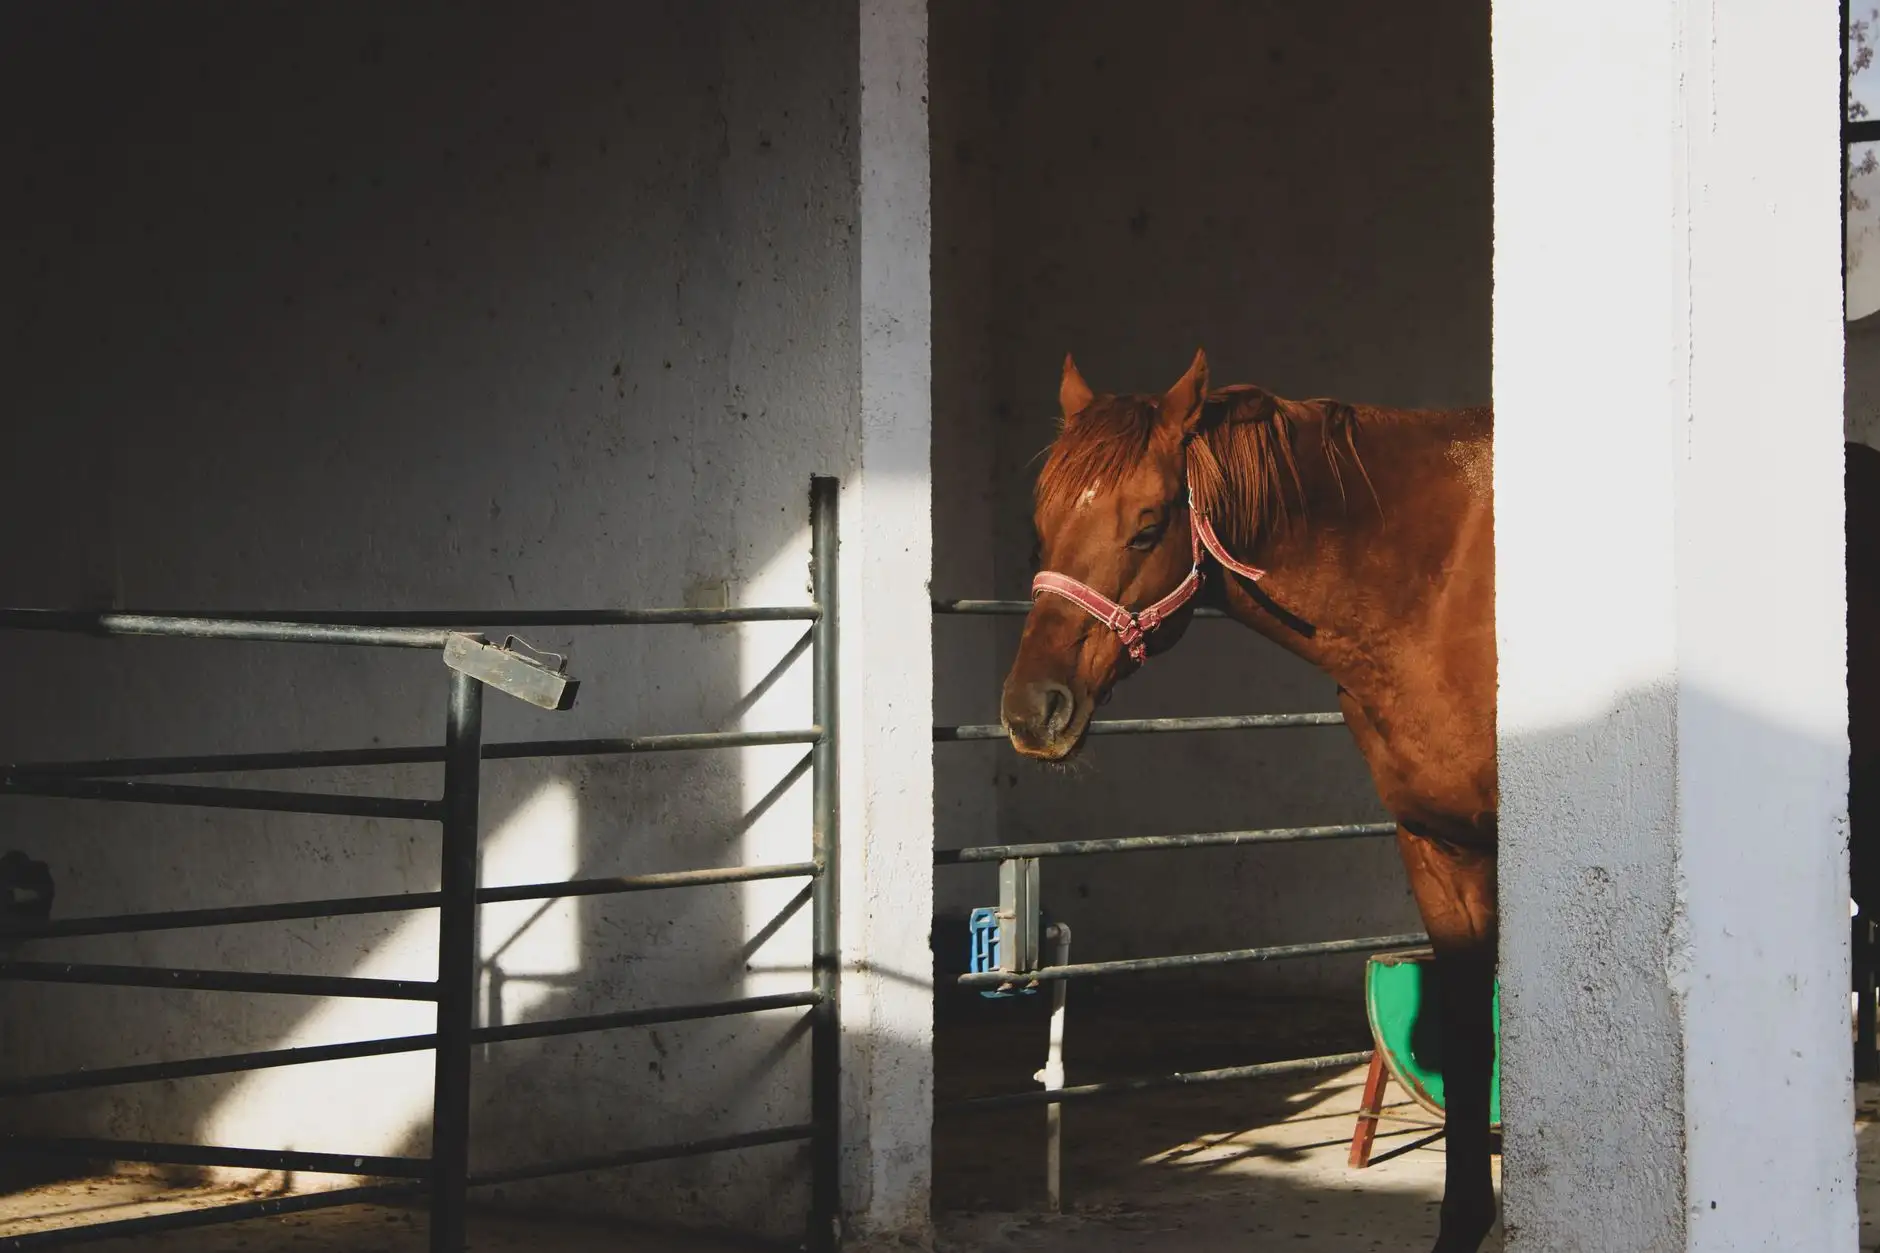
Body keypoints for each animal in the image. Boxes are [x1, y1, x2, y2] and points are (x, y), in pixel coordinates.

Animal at [1000, 349, 1877, 1252]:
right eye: (1041, 525)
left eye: (1146, 524)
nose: (1033, 710)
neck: (1436, 591)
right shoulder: (1434, 846)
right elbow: (1463, 1036)